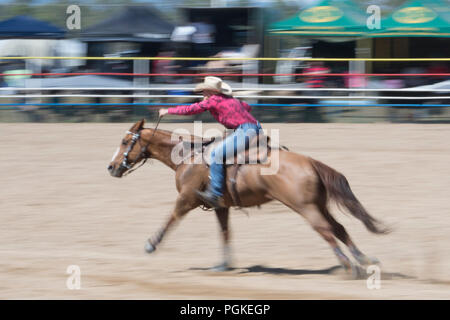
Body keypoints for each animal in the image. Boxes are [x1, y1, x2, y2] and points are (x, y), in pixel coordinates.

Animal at [107, 119, 388, 274]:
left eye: (125, 142)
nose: (111, 167)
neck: (188, 156)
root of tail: (310, 162)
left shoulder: (186, 199)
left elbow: (171, 219)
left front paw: (151, 244)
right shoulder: (220, 206)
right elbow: (225, 232)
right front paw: (224, 264)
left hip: (305, 207)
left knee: (326, 230)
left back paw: (349, 267)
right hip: (319, 204)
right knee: (339, 228)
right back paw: (363, 259)